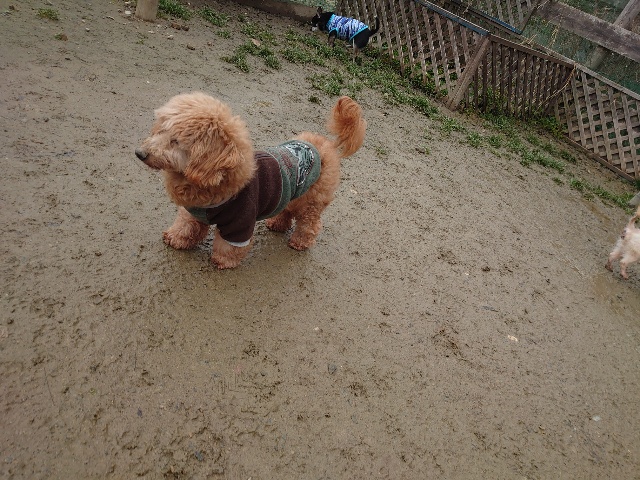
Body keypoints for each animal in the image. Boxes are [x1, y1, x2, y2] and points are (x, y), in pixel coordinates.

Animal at [135, 92, 366, 269]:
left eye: (175, 141)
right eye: (161, 130)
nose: (139, 153)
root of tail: (327, 145)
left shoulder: (240, 223)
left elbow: (228, 247)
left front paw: (223, 261)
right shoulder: (193, 211)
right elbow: (185, 226)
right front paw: (175, 239)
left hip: (312, 203)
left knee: (310, 224)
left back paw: (300, 242)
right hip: (293, 194)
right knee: (287, 211)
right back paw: (276, 224)